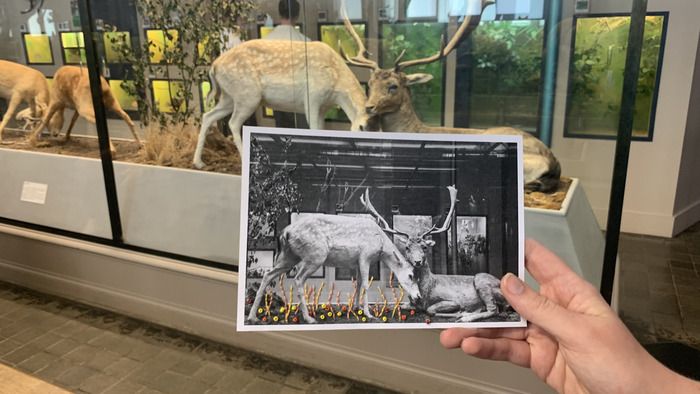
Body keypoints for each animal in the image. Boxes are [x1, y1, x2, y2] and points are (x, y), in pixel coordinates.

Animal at [191, 39, 372, 169]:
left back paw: (198, 163)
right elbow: (315, 129)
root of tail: (214, 66)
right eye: (362, 128)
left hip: (229, 97)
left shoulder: (323, 107)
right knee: (233, 123)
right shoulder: (312, 99)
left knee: (208, 116)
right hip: (248, 96)